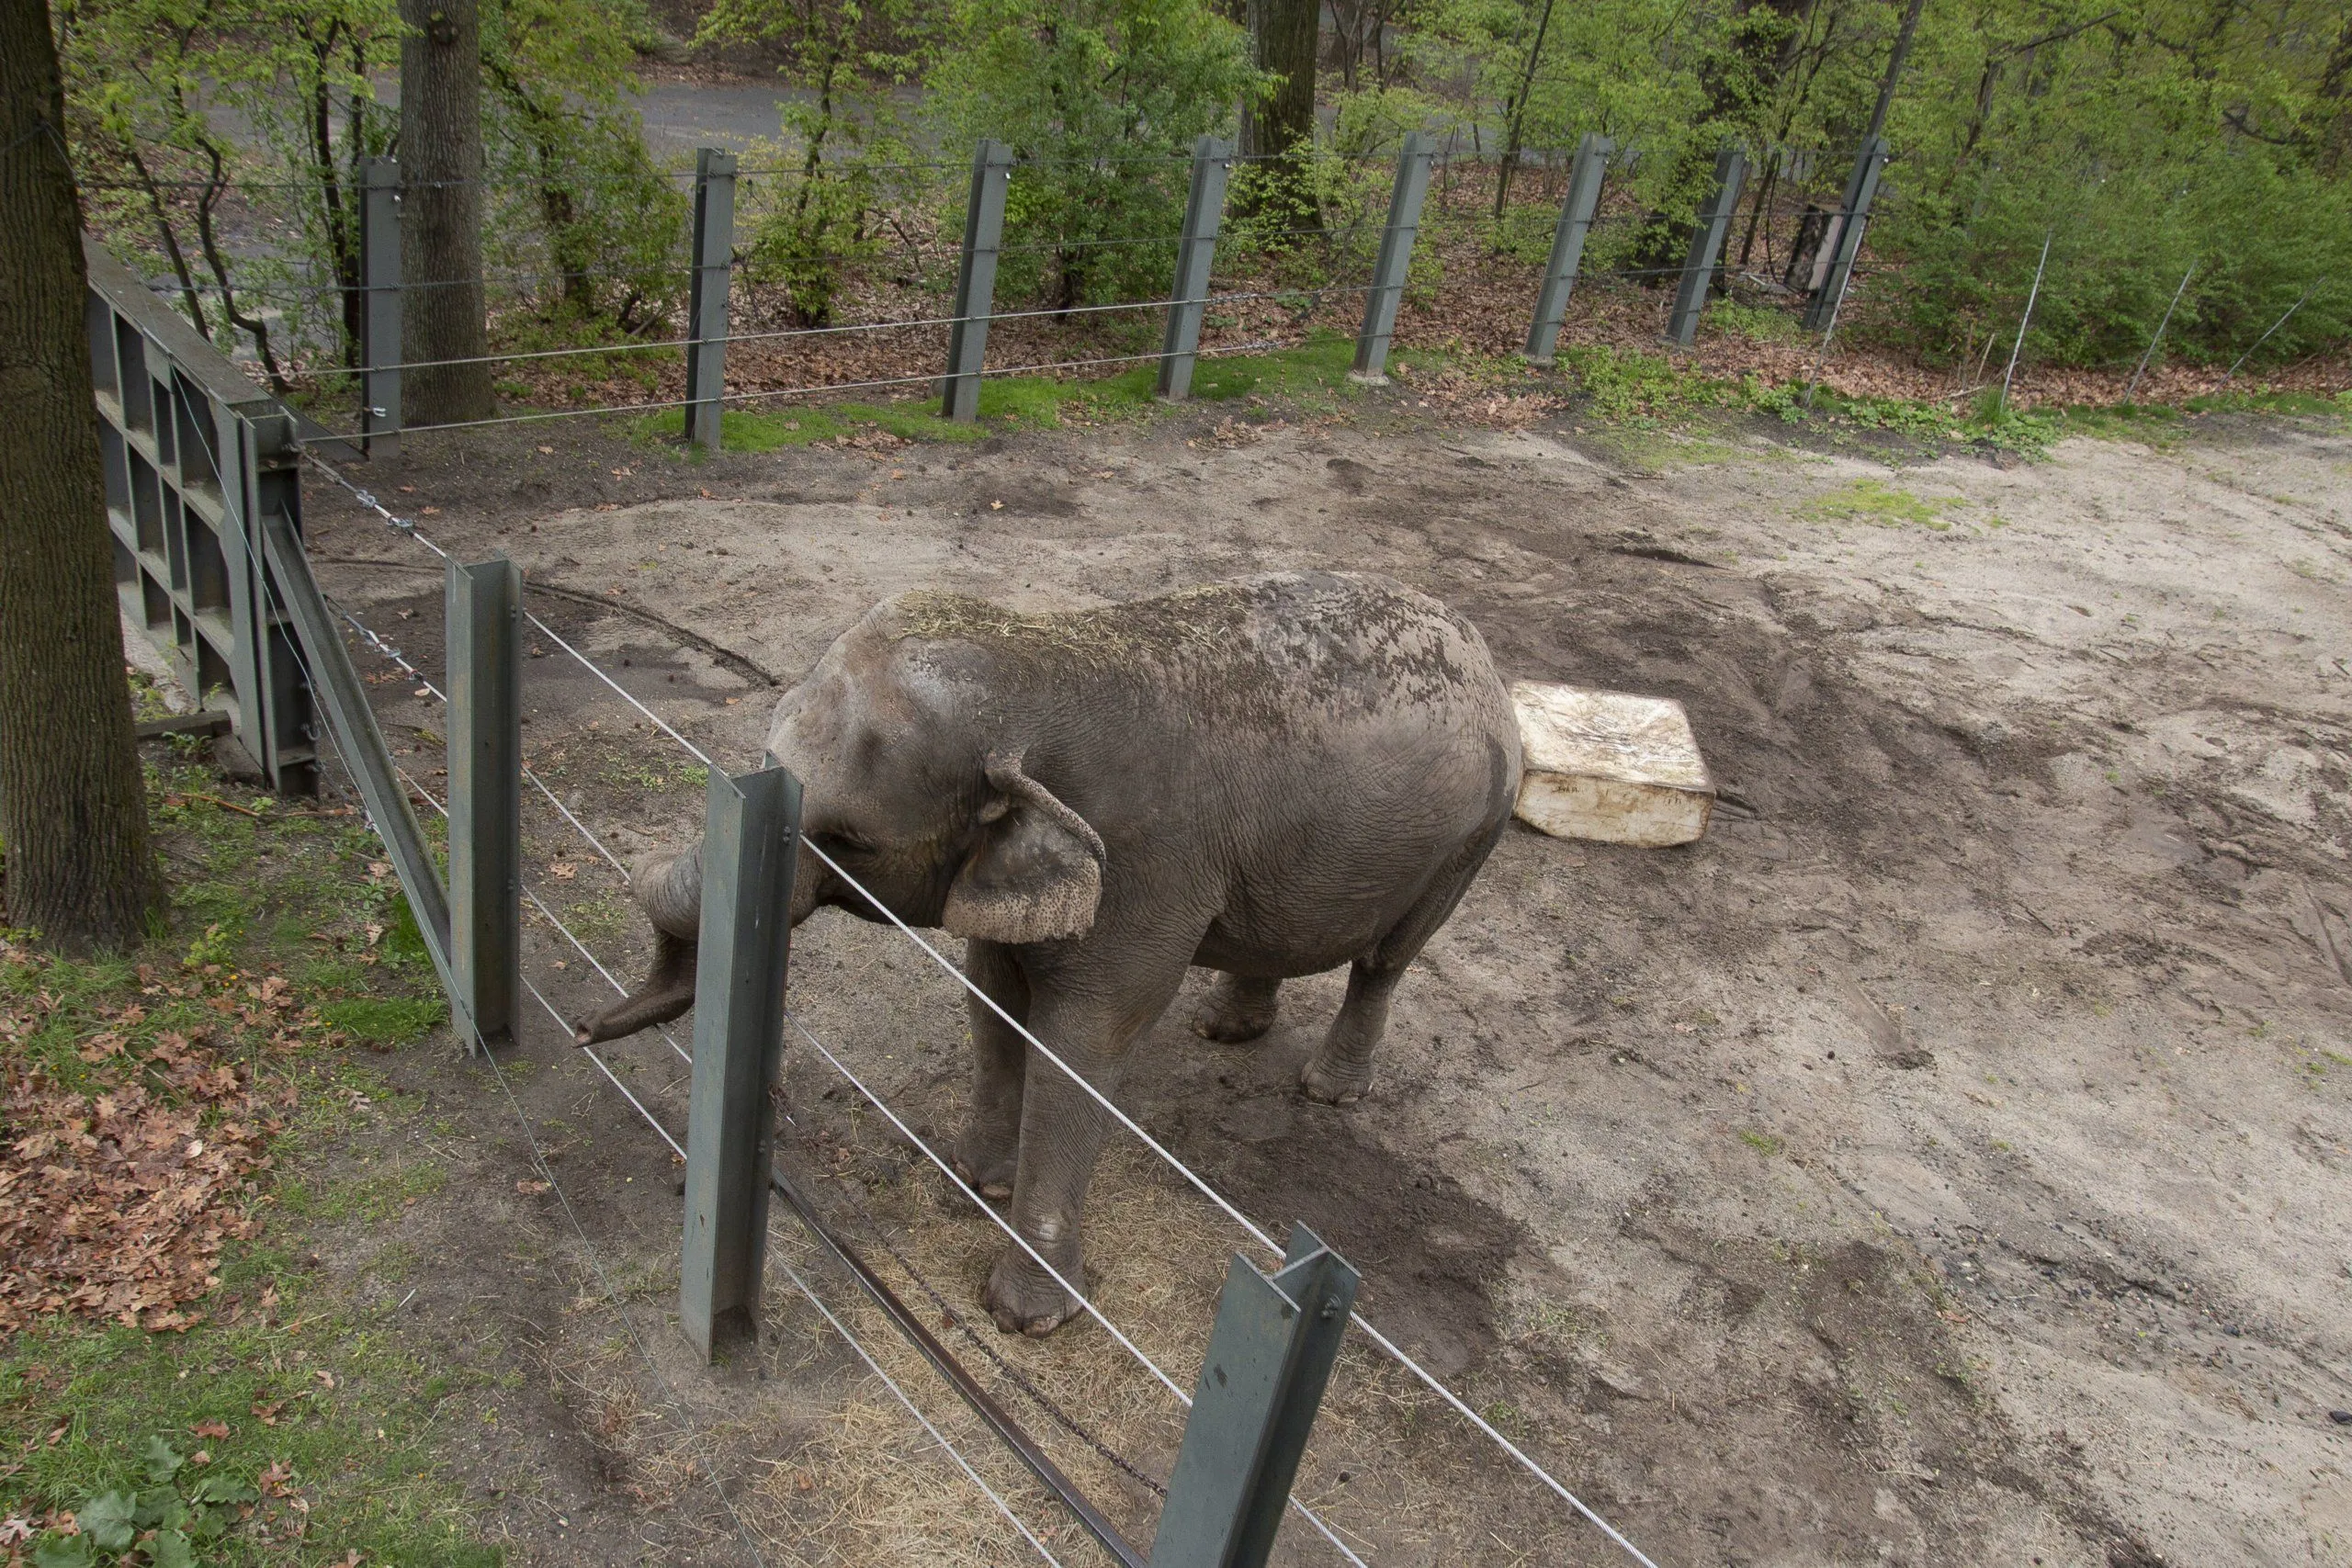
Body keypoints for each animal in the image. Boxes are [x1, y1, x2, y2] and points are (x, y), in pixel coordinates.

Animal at [576, 570, 1514, 1335]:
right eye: (767, 746)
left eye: (849, 843)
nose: (583, 1027)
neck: (1038, 660)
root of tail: (1476, 644)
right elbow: (992, 996)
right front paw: (974, 1181)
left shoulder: (1145, 868)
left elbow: (1082, 1044)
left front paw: (1026, 1318)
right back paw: (1225, 1029)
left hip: (1473, 836)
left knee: (1389, 958)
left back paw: (1328, 1090)